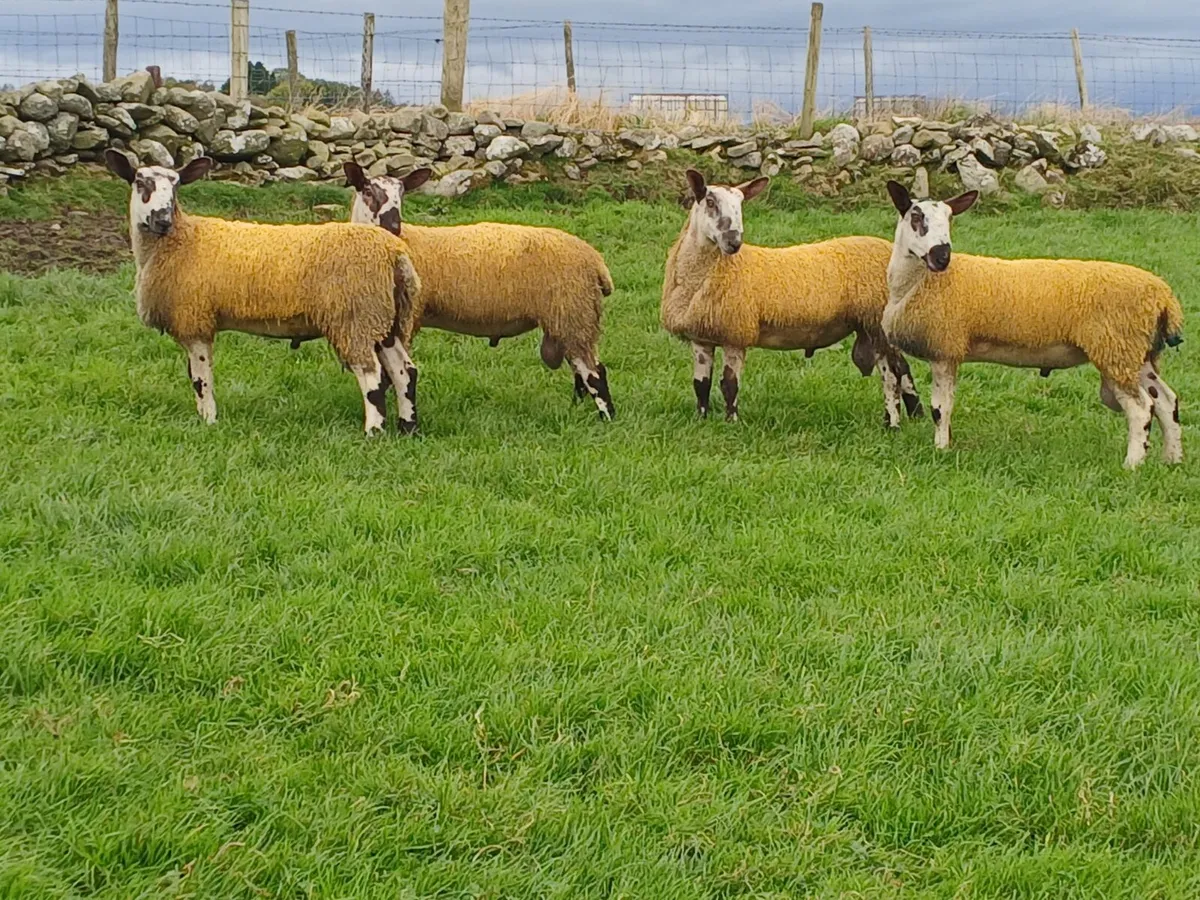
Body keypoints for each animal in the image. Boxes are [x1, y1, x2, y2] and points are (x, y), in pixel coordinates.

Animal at [105, 149, 423, 435]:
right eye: (140, 182)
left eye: (176, 186)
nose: (162, 219)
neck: (180, 239)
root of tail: (394, 252)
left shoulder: (195, 320)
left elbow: (200, 379)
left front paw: (208, 421)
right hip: (382, 317)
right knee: (405, 371)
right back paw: (408, 427)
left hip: (354, 316)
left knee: (372, 376)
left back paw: (374, 432)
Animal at [342, 161, 616, 420]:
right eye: (368, 191)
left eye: (402, 195)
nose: (393, 226)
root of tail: (596, 260)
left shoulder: (406, 318)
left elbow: (392, 373)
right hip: (572, 317)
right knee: (581, 371)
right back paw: (576, 409)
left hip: (573, 311)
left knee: (595, 373)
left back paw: (606, 418)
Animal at [661, 169, 924, 425]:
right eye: (710, 202)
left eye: (741, 205)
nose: (734, 242)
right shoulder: (701, 337)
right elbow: (700, 385)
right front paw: (701, 420)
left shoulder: (735, 332)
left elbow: (729, 385)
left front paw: (731, 423)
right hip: (877, 325)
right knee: (903, 368)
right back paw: (915, 413)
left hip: (876, 321)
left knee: (892, 375)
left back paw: (892, 423)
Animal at [883, 179, 1184, 468]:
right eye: (916, 216)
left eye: (949, 219)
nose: (942, 256)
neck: (918, 284)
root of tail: (1163, 295)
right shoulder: (948, 351)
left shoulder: (944, 349)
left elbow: (940, 408)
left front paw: (941, 449)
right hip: (1136, 353)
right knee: (1166, 401)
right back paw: (1172, 459)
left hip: (1116, 349)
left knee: (1141, 408)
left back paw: (1132, 464)